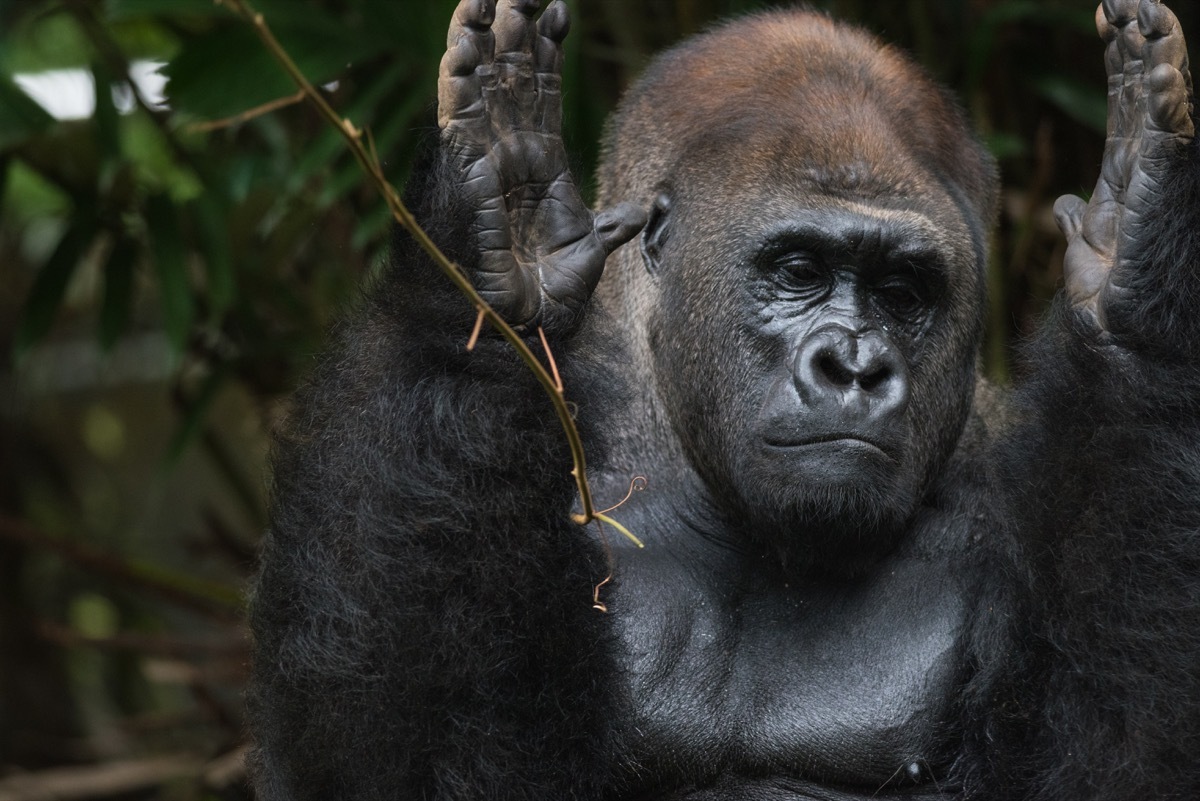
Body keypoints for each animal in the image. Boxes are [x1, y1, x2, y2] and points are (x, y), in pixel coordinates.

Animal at [248, 0, 1200, 796]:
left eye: (903, 291)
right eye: (799, 270)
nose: (855, 367)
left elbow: (1118, 762)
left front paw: (1140, 280)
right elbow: (385, 758)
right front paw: (484, 258)